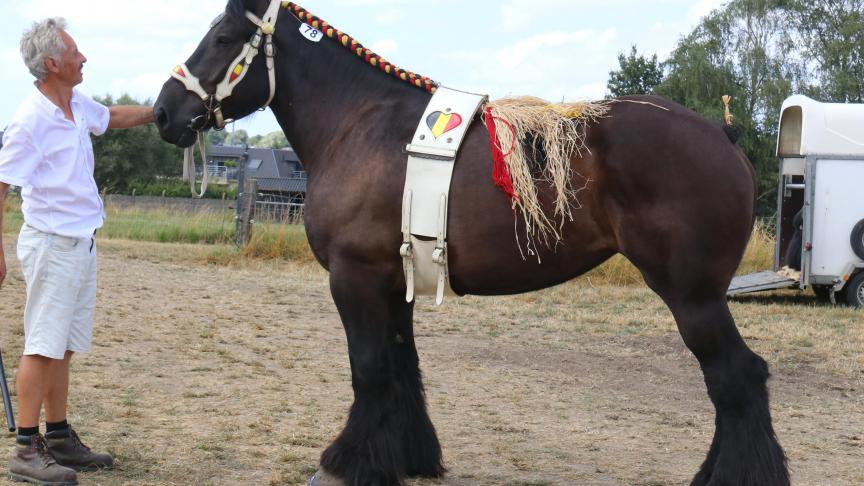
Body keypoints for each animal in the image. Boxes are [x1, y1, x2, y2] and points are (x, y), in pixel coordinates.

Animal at [154, 0, 788, 486]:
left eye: (223, 38)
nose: (163, 111)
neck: (359, 124)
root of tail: (723, 136)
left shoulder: (354, 278)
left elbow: (369, 369)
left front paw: (346, 463)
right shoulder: (395, 283)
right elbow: (402, 367)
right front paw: (407, 458)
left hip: (692, 297)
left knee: (736, 377)